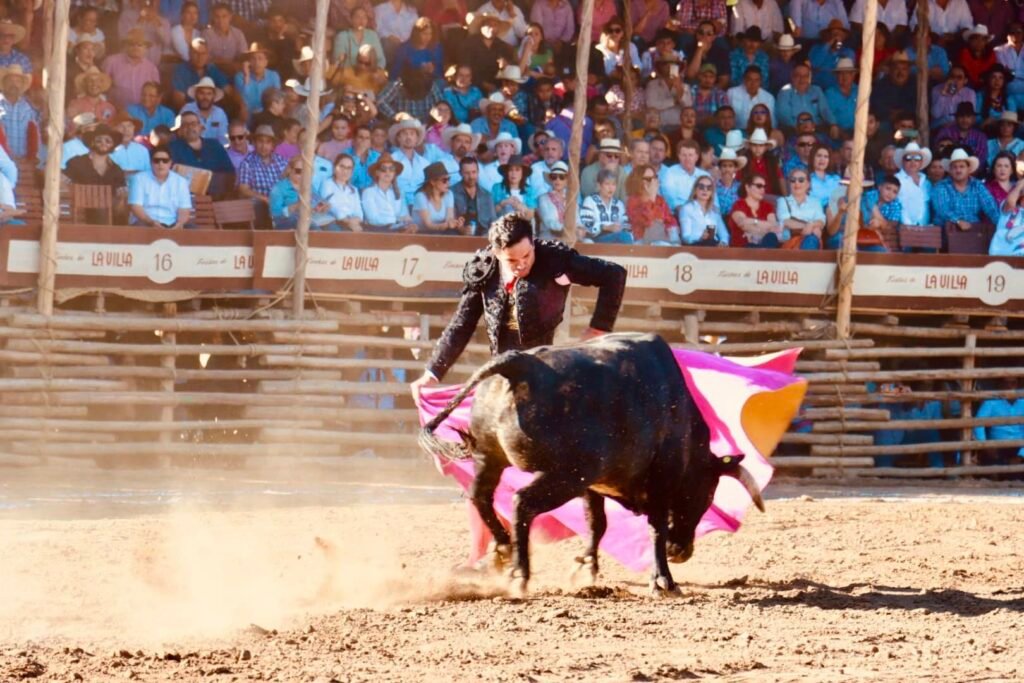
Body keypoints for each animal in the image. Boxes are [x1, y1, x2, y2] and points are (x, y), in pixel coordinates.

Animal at [419, 332, 764, 595]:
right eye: (705, 495)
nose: (681, 551)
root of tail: (520, 364)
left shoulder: (593, 485)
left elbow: (597, 523)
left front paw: (586, 568)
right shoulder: (658, 481)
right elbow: (654, 527)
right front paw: (663, 581)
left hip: (490, 458)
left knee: (481, 497)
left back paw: (504, 549)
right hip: (564, 477)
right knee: (521, 503)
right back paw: (519, 573)